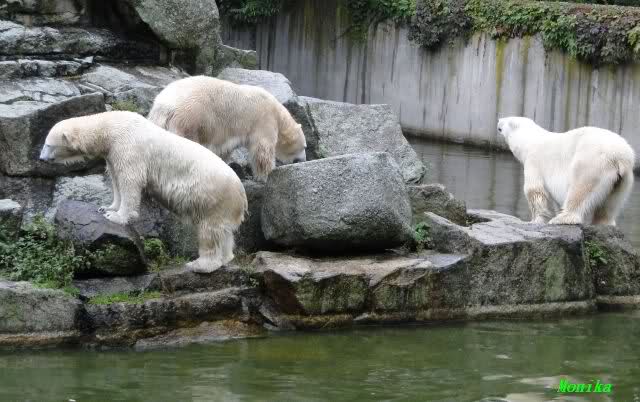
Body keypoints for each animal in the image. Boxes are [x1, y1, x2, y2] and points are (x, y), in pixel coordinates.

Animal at [39, 111, 248, 273]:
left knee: (209, 231)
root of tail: (241, 193)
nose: (41, 159)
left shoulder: (128, 147)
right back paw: (226, 257)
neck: (111, 127)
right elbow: (116, 179)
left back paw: (200, 265)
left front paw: (116, 217)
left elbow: (130, 181)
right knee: (224, 232)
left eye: (48, 145)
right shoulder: (112, 153)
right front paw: (107, 207)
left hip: (213, 197)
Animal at [148, 75, 307, 181]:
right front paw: (265, 175)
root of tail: (165, 106)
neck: (278, 114)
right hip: (190, 117)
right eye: (305, 146)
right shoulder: (263, 119)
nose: (303, 160)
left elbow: (224, 149)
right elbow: (262, 150)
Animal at [497, 116, 635, 226]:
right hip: (624, 179)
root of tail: (620, 155)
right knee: (611, 202)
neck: (529, 141)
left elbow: (534, 190)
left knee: (580, 190)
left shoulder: (534, 161)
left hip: (591, 164)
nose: (499, 120)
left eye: (507, 120)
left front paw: (535, 220)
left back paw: (562, 218)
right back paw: (603, 222)